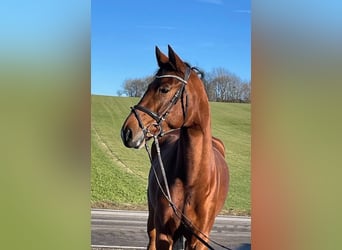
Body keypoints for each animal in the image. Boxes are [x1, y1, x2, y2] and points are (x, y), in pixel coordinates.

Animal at [121, 46, 230, 249]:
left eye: (164, 89)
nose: (127, 131)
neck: (192, 180)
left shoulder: (199, 239)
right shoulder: (165, 233)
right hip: (152, 218)